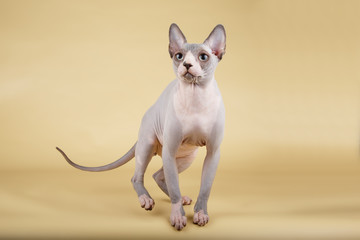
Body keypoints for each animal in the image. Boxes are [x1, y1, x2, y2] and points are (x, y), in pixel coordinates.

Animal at [56, 23, 225, 231]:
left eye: (203, 57)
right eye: (179, 56)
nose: (186, 64)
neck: (195, 98)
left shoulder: (213, 152)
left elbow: (205, 189)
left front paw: (200, 214)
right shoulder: (170, 149)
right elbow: (174, 189)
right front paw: (177, 216)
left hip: (186, 157)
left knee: (159, 175)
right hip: (149, 144)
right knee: (139, 177)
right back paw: (146, 199)